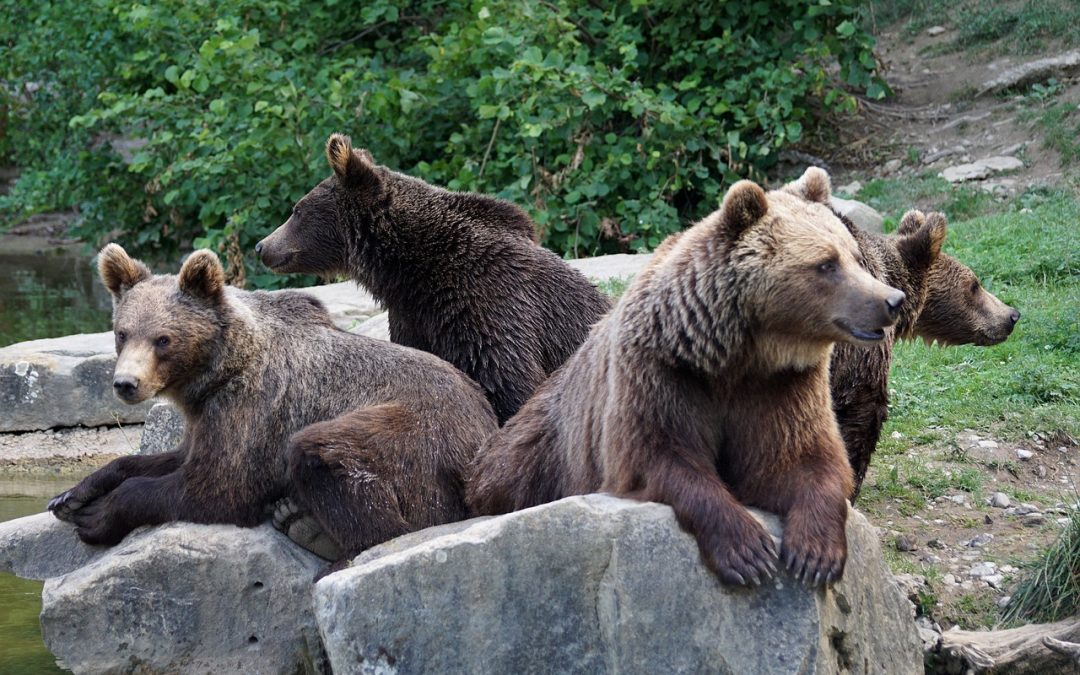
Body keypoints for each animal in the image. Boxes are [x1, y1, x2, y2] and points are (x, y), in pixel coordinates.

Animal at [45, 241, 494, 570]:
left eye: (163, 339)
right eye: (122, 333)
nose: (126, 384)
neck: (215, 373)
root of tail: (484, 427)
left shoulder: (252, 410)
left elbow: (215, 486)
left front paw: (97, 516)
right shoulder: (206, 416)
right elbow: (165, 458)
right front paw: (71, 496)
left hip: (417, 436)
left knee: (329, 455)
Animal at [250, 134, 609, 423]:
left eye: (297, 210)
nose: (261, 246)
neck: (413, 269)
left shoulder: (491, 305)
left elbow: (508, 382)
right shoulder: (414, 317)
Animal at [468, 168, 907, 583]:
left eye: (854, 256)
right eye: (826, 264)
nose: (892, 300)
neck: (735, 354)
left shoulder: (783, 386)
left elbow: (799, 458)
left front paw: (814, 554)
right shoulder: (660, 373)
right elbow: (662, 456)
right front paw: (748, 552)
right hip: (530, 460)